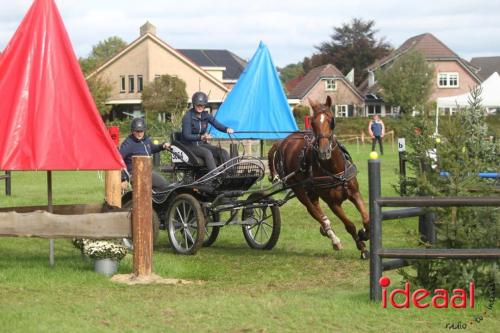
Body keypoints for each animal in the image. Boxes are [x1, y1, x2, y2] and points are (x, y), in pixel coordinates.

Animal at [270, 95, 372, 256]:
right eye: (312, 122)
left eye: (331, 120)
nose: (324, 151)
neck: (335, 171)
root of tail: (282, 142)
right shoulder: (333, 203)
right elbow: (349, 225)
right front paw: (361, 247)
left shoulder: (355, 193)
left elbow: (367, 219)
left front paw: (364, 234)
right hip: (299, 190)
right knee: (313, 211)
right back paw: (334, 238)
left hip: (312, 190)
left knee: (318, 211)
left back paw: (327, 230)